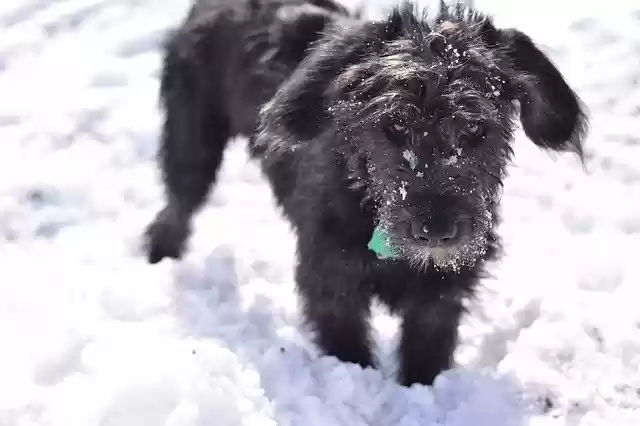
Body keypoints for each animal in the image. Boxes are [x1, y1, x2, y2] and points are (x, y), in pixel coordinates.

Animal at [146, 0, 592, 386]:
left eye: (474, 128)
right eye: (395, 124)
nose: (436, 231)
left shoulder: (440, 297)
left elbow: (426, 356)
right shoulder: (331, 283)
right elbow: (349, 351)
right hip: (192, 143)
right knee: (177, 205)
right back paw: (160, 255)